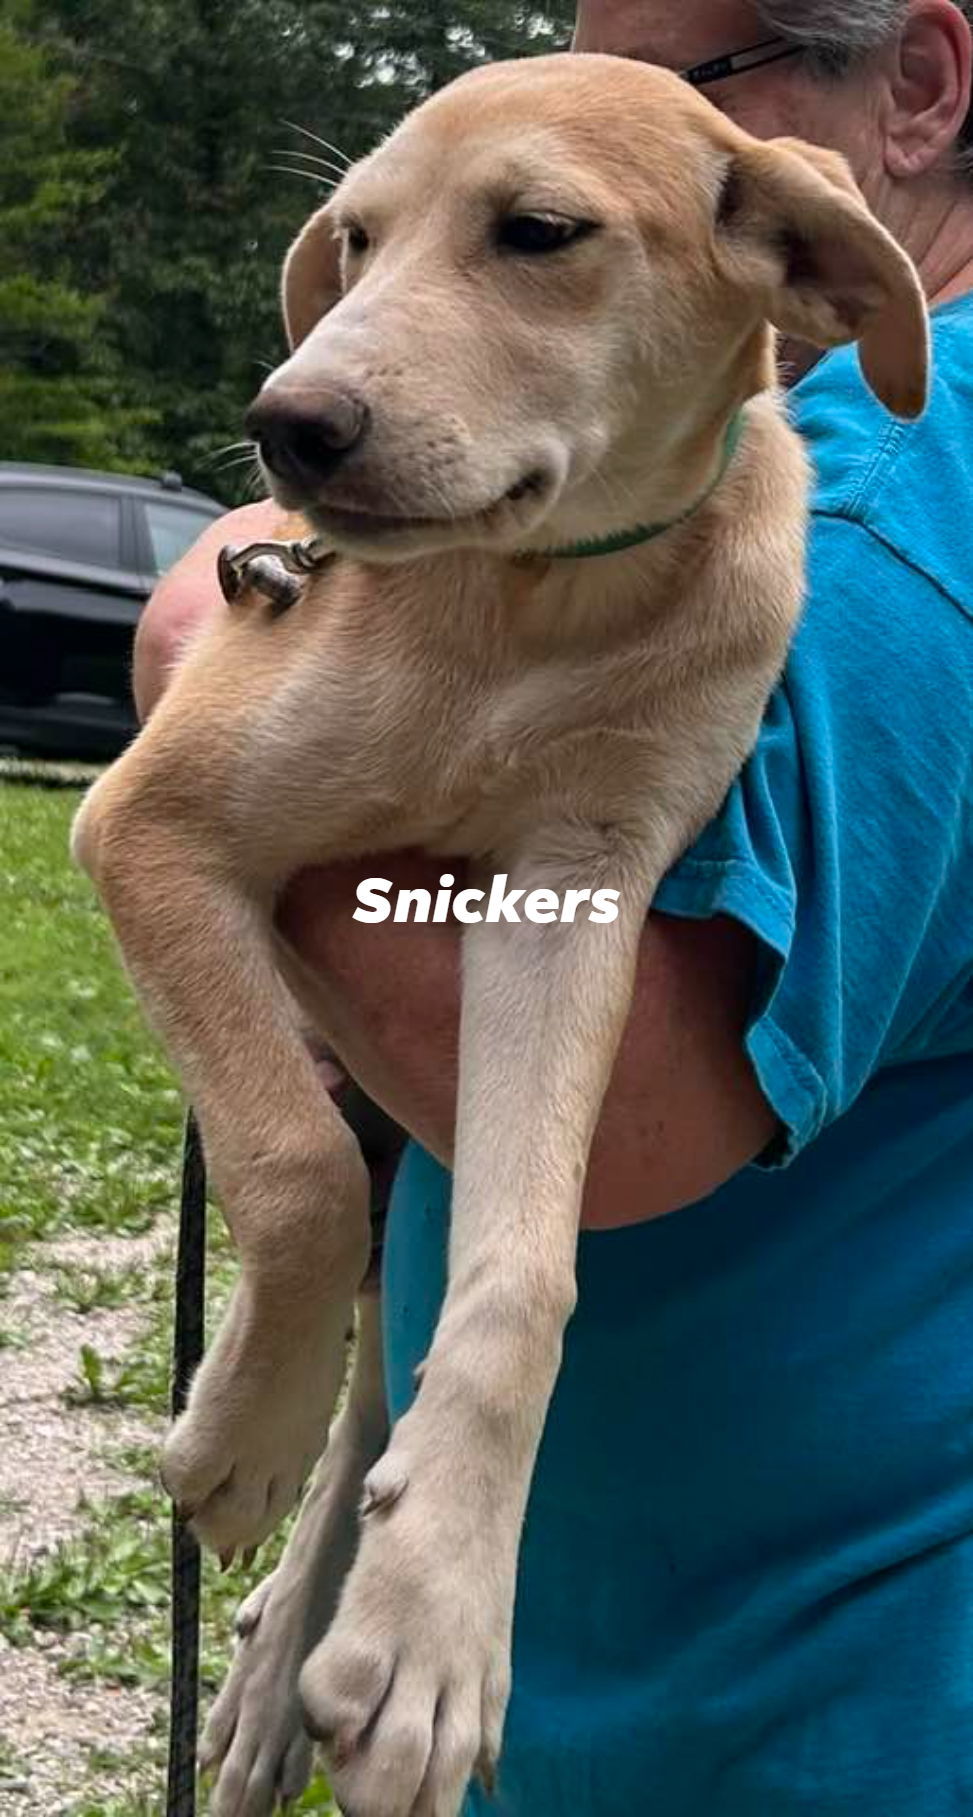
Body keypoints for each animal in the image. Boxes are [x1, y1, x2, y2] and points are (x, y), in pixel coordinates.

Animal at [72, 49, 923, 1817]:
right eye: (354, 240)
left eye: (536, 232)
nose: (287, 427)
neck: (529, 608)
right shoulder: (150, 827)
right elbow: (287, 1166)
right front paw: (235, 1439)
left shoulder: (570, 894)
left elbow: (523, 1277)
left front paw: (436, 1620)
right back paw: (262, 1660)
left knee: (386, 1357)